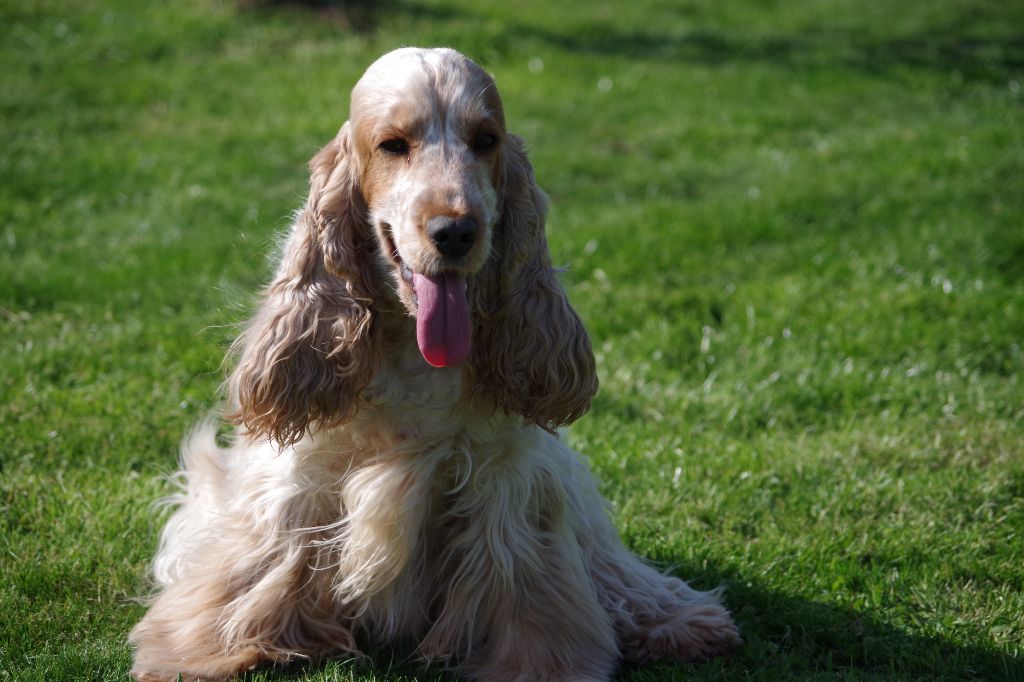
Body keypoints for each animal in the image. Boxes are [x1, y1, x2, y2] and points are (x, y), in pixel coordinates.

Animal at [130, 47, 737, 679]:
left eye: (485, 140)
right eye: (393, 144)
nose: (456, 231)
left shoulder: (507, 484)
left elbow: (526, 590)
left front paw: (543, 663)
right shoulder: (298, 483)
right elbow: (259, 571)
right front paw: (199, 651)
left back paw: (680, 622)